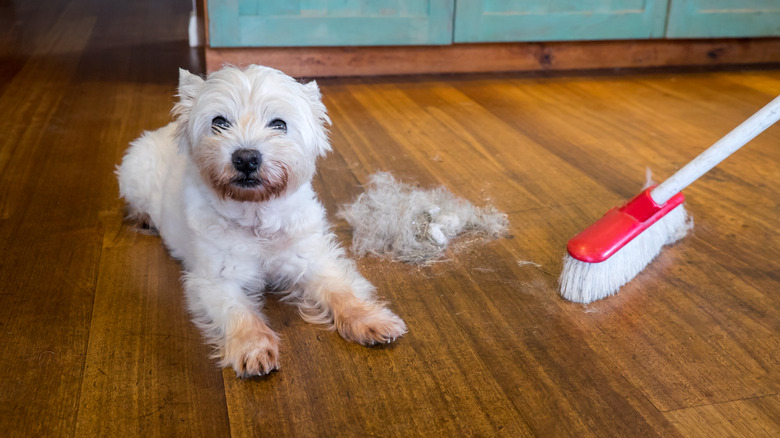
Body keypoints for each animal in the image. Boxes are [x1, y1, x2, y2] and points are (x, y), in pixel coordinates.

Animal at [118, 64, 408, 376]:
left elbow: (341, 290)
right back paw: (144, 218)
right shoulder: (216, 280)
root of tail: (161, 131)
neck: (256, 216)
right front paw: (253, 349)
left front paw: (370, 319)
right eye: (219, 122)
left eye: (279, 124)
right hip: (133, 173)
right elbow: (240, 313)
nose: (246, 158)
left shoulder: (312, 259)